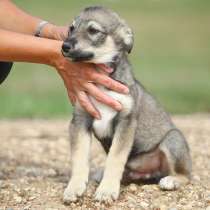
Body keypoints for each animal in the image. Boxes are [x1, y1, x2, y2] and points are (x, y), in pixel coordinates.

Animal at [61, 6, 192, 203]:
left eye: (93, 30)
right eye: (71, 28)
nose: (64, 47)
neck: (103, 82)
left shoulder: (125, 121)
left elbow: (115, 158)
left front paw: (107, 190)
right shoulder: (80, 119)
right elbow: (79, 157)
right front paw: (74, 187)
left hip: (173, 139)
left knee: (186, 175)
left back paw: (171, 180)